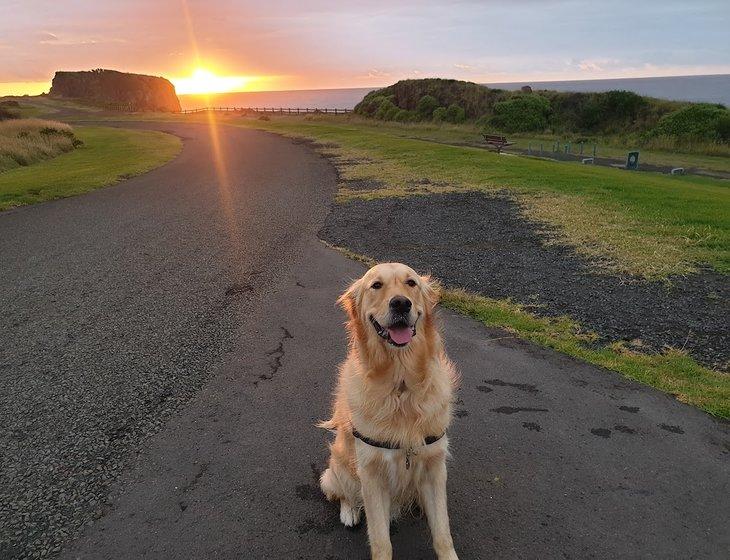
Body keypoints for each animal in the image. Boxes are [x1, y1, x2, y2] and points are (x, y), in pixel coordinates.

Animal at [318, 264, 456, 560]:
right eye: (376, 286)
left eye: (411, 283)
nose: (401, 303)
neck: (401, 385)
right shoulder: (371, 475)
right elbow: (381, 541)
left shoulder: (434, 467)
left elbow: (443, 534)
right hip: (340, 466)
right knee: (342, 492)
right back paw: (349, 512)